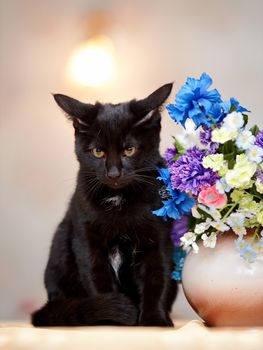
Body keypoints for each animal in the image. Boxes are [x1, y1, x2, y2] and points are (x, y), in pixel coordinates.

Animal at [32, 83, 178, 326]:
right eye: (98, 151)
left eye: (129, 150)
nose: (114, 174)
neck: (118, 201)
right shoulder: (86, 240)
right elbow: (97, 278)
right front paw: (111, 318)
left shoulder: (158, 239)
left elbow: (158, 278)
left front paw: (154, 321)